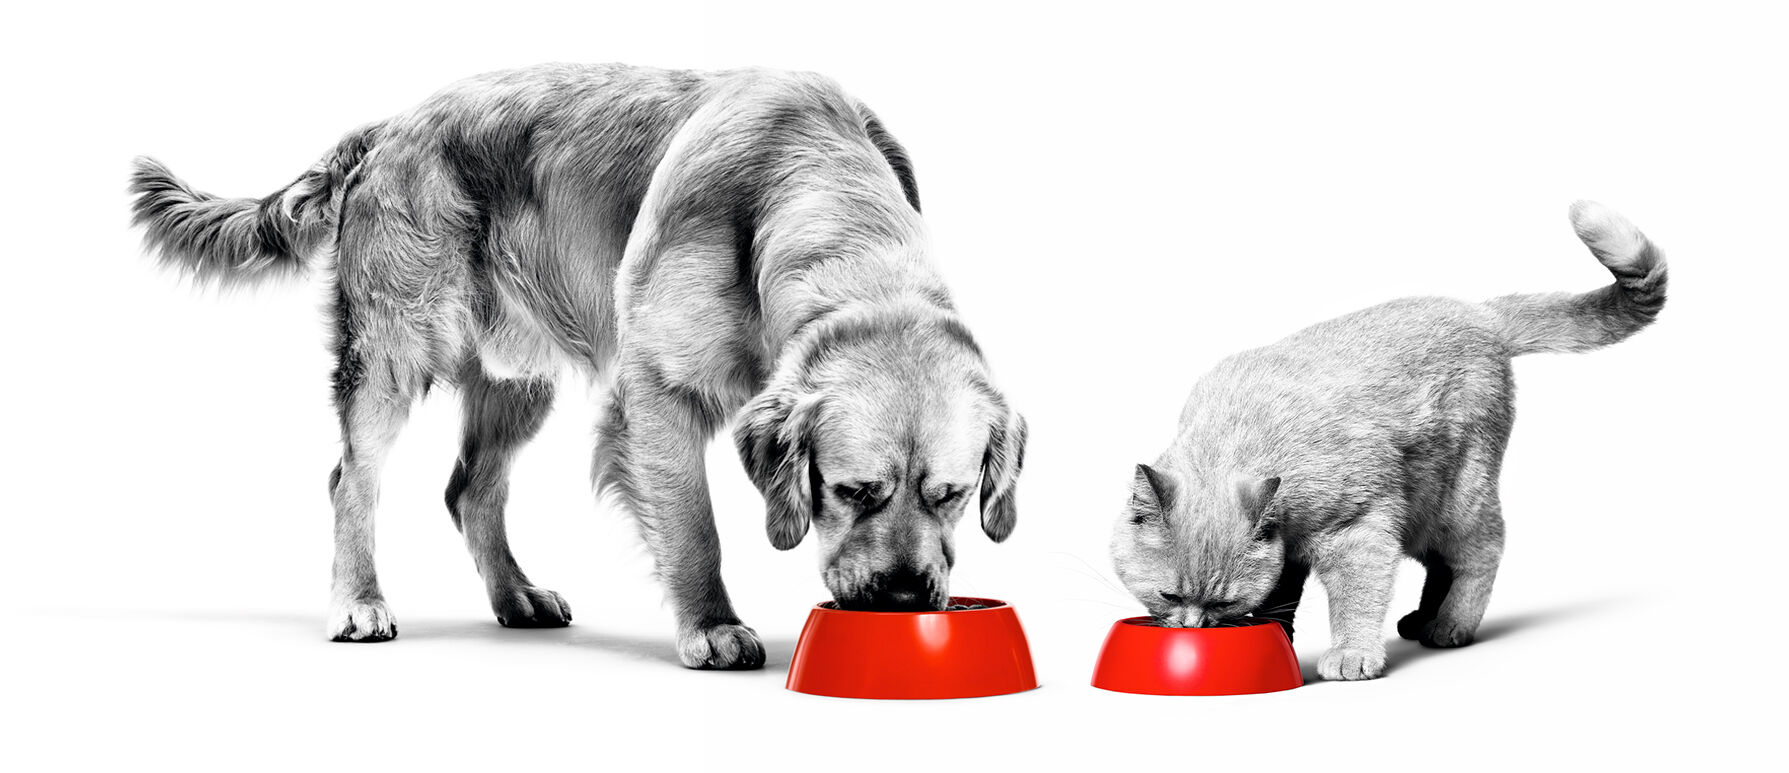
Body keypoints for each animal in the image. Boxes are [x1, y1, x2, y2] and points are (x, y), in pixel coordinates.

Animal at [129, 63, 1037, 669]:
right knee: (352, 480)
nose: (904, 595)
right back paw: (359, 601)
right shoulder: (657, 391)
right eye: (850, 491)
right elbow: (694, 525)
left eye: (952, 495)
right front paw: (712, 623)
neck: (807, 181)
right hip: (395, 348)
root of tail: (390, 127)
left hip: (516, 377)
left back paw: (514, 595)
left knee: (470, 489)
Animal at [1109, 202, 1667, 679]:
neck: (1245, 439)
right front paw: (1280, 639)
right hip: (1426, 508)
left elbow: (1356, 598)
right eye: (1168, 596)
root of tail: (1480, 312)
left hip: (1454, 499)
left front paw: (1351, 653)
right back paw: (1424, 618)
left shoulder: (1360, 530)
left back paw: (1451, 624)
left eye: (1221, 603)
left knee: (1482, 551)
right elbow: (1280, 598)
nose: (1194, 628)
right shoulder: (1289, 551)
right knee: (1443, 565)